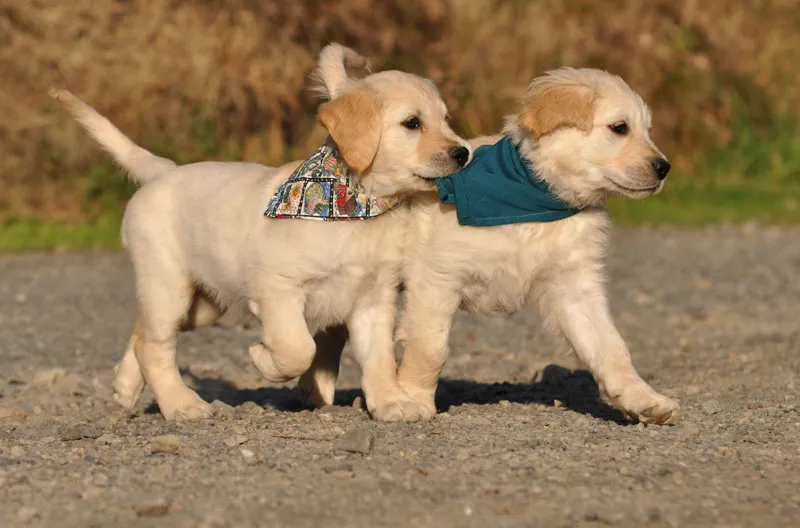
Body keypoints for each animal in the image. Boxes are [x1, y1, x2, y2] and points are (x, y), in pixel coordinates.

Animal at [51, 43, 468, 420]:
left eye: (446, 119)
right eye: (412, 123)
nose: (463, 153)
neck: (358, 204)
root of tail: (163, 170)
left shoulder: (374, 298)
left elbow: (379, 358)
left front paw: (392, 403)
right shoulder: (278, 288)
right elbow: (298, 348)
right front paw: (263, 360)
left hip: (203, 304)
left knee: (142, 333)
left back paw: (125, 386)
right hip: (167, 284)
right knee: (155, 346)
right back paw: (182, 405)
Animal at [306, 69, 680, 424]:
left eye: (647, 130)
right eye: (619, 128)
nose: (664, 168)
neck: (534, 197)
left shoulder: (575, 286)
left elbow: (611, 346)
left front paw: (643, 400)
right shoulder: (437, 278)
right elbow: (430, 348)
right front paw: (412, 398)